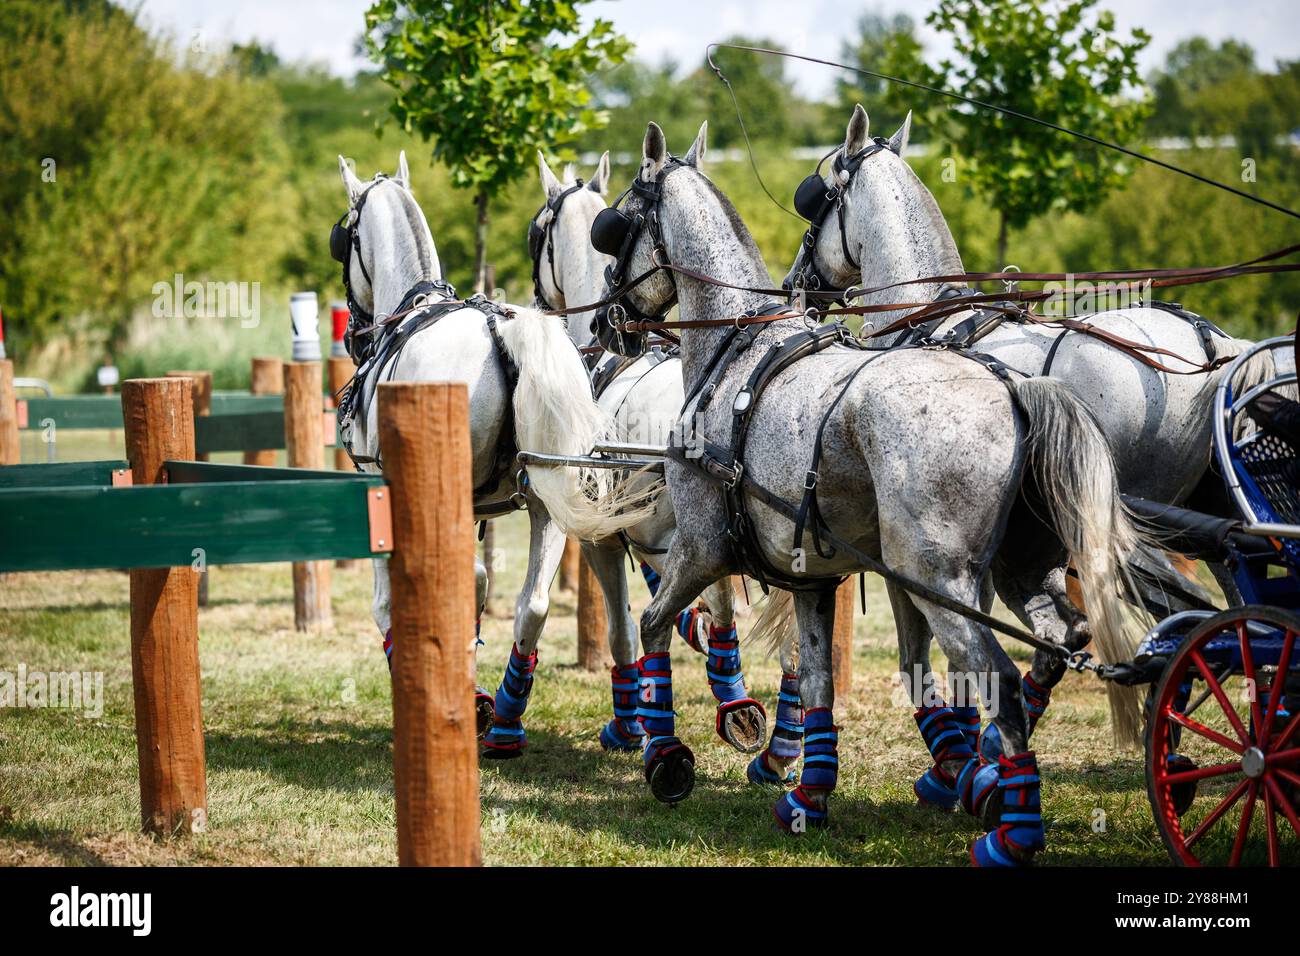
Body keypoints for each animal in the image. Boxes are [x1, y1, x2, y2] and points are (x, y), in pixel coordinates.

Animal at [332, 152, 650, 754]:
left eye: (343, 239)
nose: (354, 333)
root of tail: (504, 334)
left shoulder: (381, 492)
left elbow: (392, 605)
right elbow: (481, 583)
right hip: (548, 494)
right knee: (535, 604)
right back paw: (505, 720)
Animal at [529, 150, 771, 757]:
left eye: (536, 233)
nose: (541, 302)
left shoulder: (603, 539)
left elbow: (621, 625)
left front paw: (631, 721)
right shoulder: (676, 540)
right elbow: (714, 608)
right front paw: (730, 699)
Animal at [590, 119, 1144, 866]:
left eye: (614, 224)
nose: (605, 320)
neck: (734, 351)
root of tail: (1012, 389)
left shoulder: (703, 547)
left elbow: (652, 624)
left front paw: (666, 755)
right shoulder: (811, 576)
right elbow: (819, 678)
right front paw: (810, 792)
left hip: (936, 577)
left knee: (996, 679)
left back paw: (1011, 833)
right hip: (1020, 572)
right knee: (1061, 642)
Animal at [778, 103, 1276, 786]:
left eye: (816, 201)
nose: (795, 285)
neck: (930, 321)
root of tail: (1210, 345)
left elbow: (946, 642)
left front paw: (965, 755)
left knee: (1178, 616)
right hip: (1212, 517)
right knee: (1236, 617)